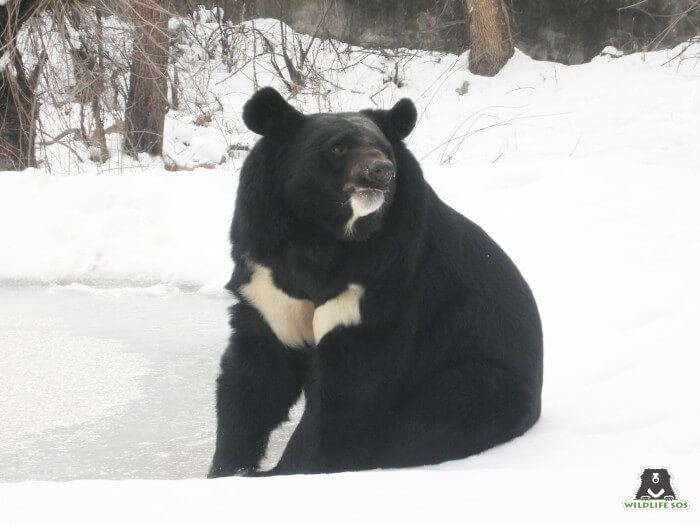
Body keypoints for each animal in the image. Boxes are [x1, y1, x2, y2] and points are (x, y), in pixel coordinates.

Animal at [206, 88, 540, 476]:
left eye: (384, 149)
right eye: (336, 148)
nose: (381, 171)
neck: (321, 234)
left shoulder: (386, 276)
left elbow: (352, 383)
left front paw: (286, 470)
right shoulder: (265, 273)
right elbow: (256, 375)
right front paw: (229, 469)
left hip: (480, 375)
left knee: (437, 415)